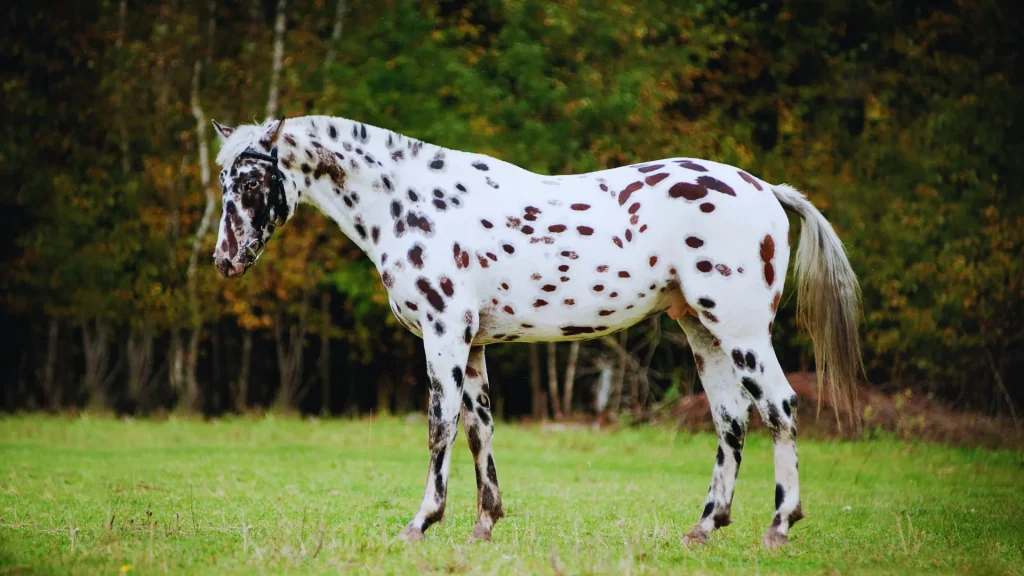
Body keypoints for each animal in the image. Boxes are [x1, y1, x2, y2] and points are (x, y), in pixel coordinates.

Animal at [211, 116, 862, 547]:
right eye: (224, 184)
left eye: (251, 183)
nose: (225, 260)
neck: (416, 203)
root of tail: (766, 190)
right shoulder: (473, 343)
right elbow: (479, 429)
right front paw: (484, 523)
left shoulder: (444, 334)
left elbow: (440, 425)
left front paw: (421, 522)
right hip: (704, 333)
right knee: (732, 422)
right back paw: (704, 527)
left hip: (742, 330)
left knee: (780, 409)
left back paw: (779, 526)